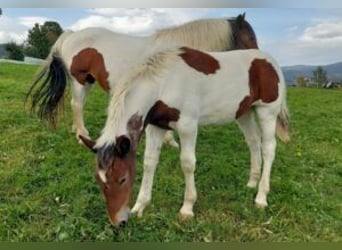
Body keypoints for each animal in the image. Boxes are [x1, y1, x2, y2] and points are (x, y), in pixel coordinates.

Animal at [26, 13, 256, 146]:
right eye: (249, 37)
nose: (258, 57)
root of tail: (72, 34)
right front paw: (170, 141)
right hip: (79, 80)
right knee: (77, 104)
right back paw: (83, 135)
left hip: (88, 81)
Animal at [81, 46, 292, 227]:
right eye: (99, 180)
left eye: (123, 179)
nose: (119, 222)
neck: (164, 83)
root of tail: (271, 62)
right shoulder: (156, 127)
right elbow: (149, 162)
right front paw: (140, 206)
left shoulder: (187, 126)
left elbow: (188, 163)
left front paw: (187, 208)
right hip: (244, 113)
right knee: (253, 143)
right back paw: (251, 182)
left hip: (267, 112)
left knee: (268, 149)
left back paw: (261, 196)